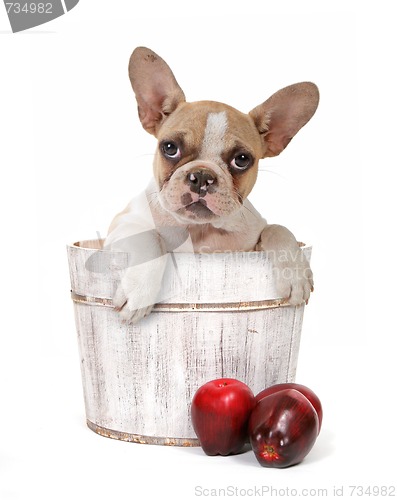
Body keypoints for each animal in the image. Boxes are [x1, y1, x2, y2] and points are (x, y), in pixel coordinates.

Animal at [105, 47, 318, 324]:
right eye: (170, 148)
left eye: (241, 160)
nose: (202, 176)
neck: (199, 230)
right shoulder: (121, 226)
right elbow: (148, 239)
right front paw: (139, 293)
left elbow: (278, 229)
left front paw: (294, 273)